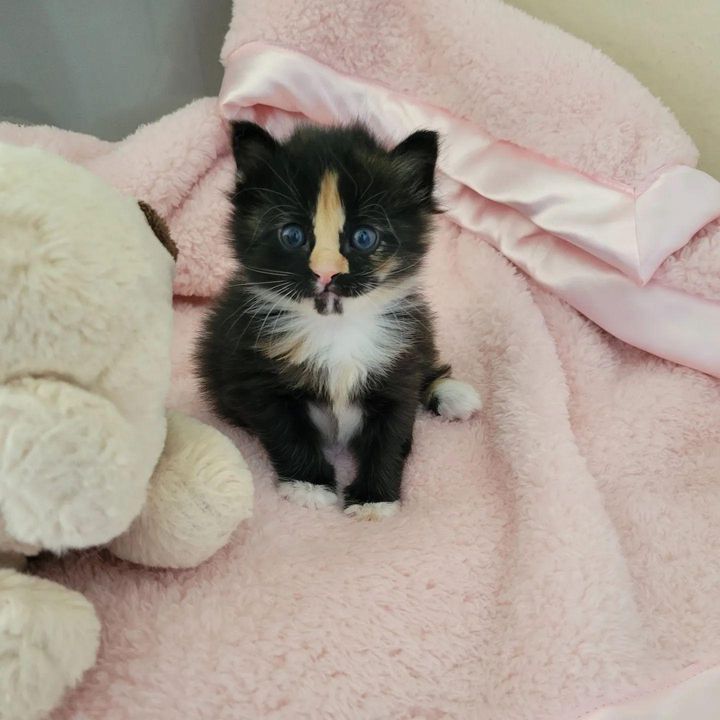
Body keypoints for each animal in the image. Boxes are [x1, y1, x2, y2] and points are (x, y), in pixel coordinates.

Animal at [195, 122, 484, 516]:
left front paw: (374, 501)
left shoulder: (399, 362)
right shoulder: (256, 369)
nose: (327, 273)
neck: (335, 326)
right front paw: (309, 485)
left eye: (364, 237)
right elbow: (286, 430)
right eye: (293, 235)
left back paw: (452, 393)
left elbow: (392, 431)